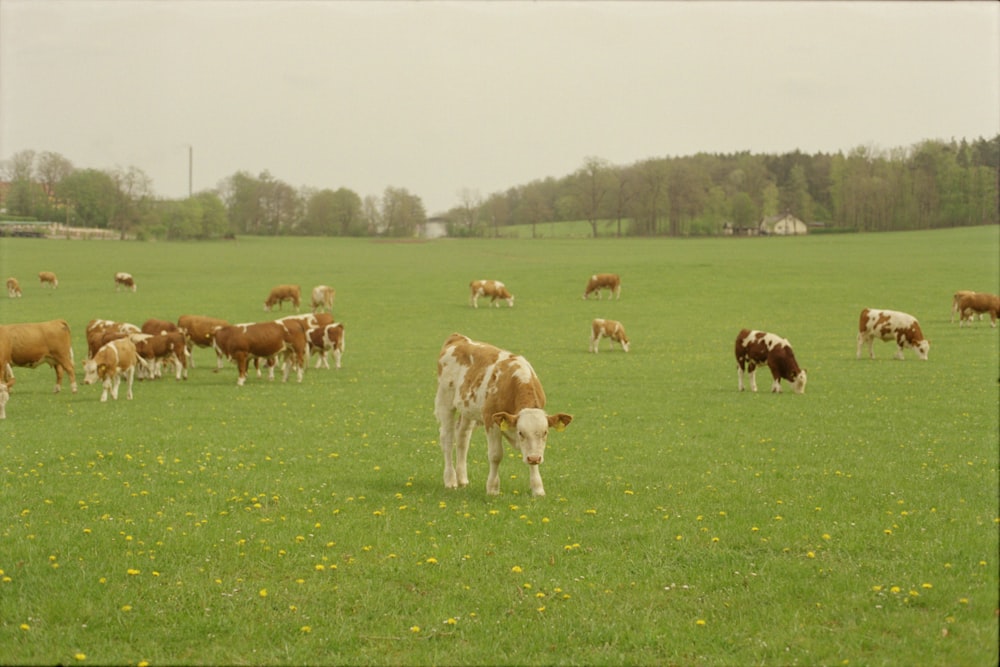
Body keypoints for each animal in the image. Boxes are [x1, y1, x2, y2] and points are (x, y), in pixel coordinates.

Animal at [436, 334, 572, 496]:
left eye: (545, 432)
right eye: (521, 433)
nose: (534, 458)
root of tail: (458, 337)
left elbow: (531, 453)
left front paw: (537, 488)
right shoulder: (491, 420)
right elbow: (495, 456)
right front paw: (492, 489)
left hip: (467, 410)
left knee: (463, 437)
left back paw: (462, 479)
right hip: (445, 401)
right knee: (447, 438)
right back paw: (450, 480)